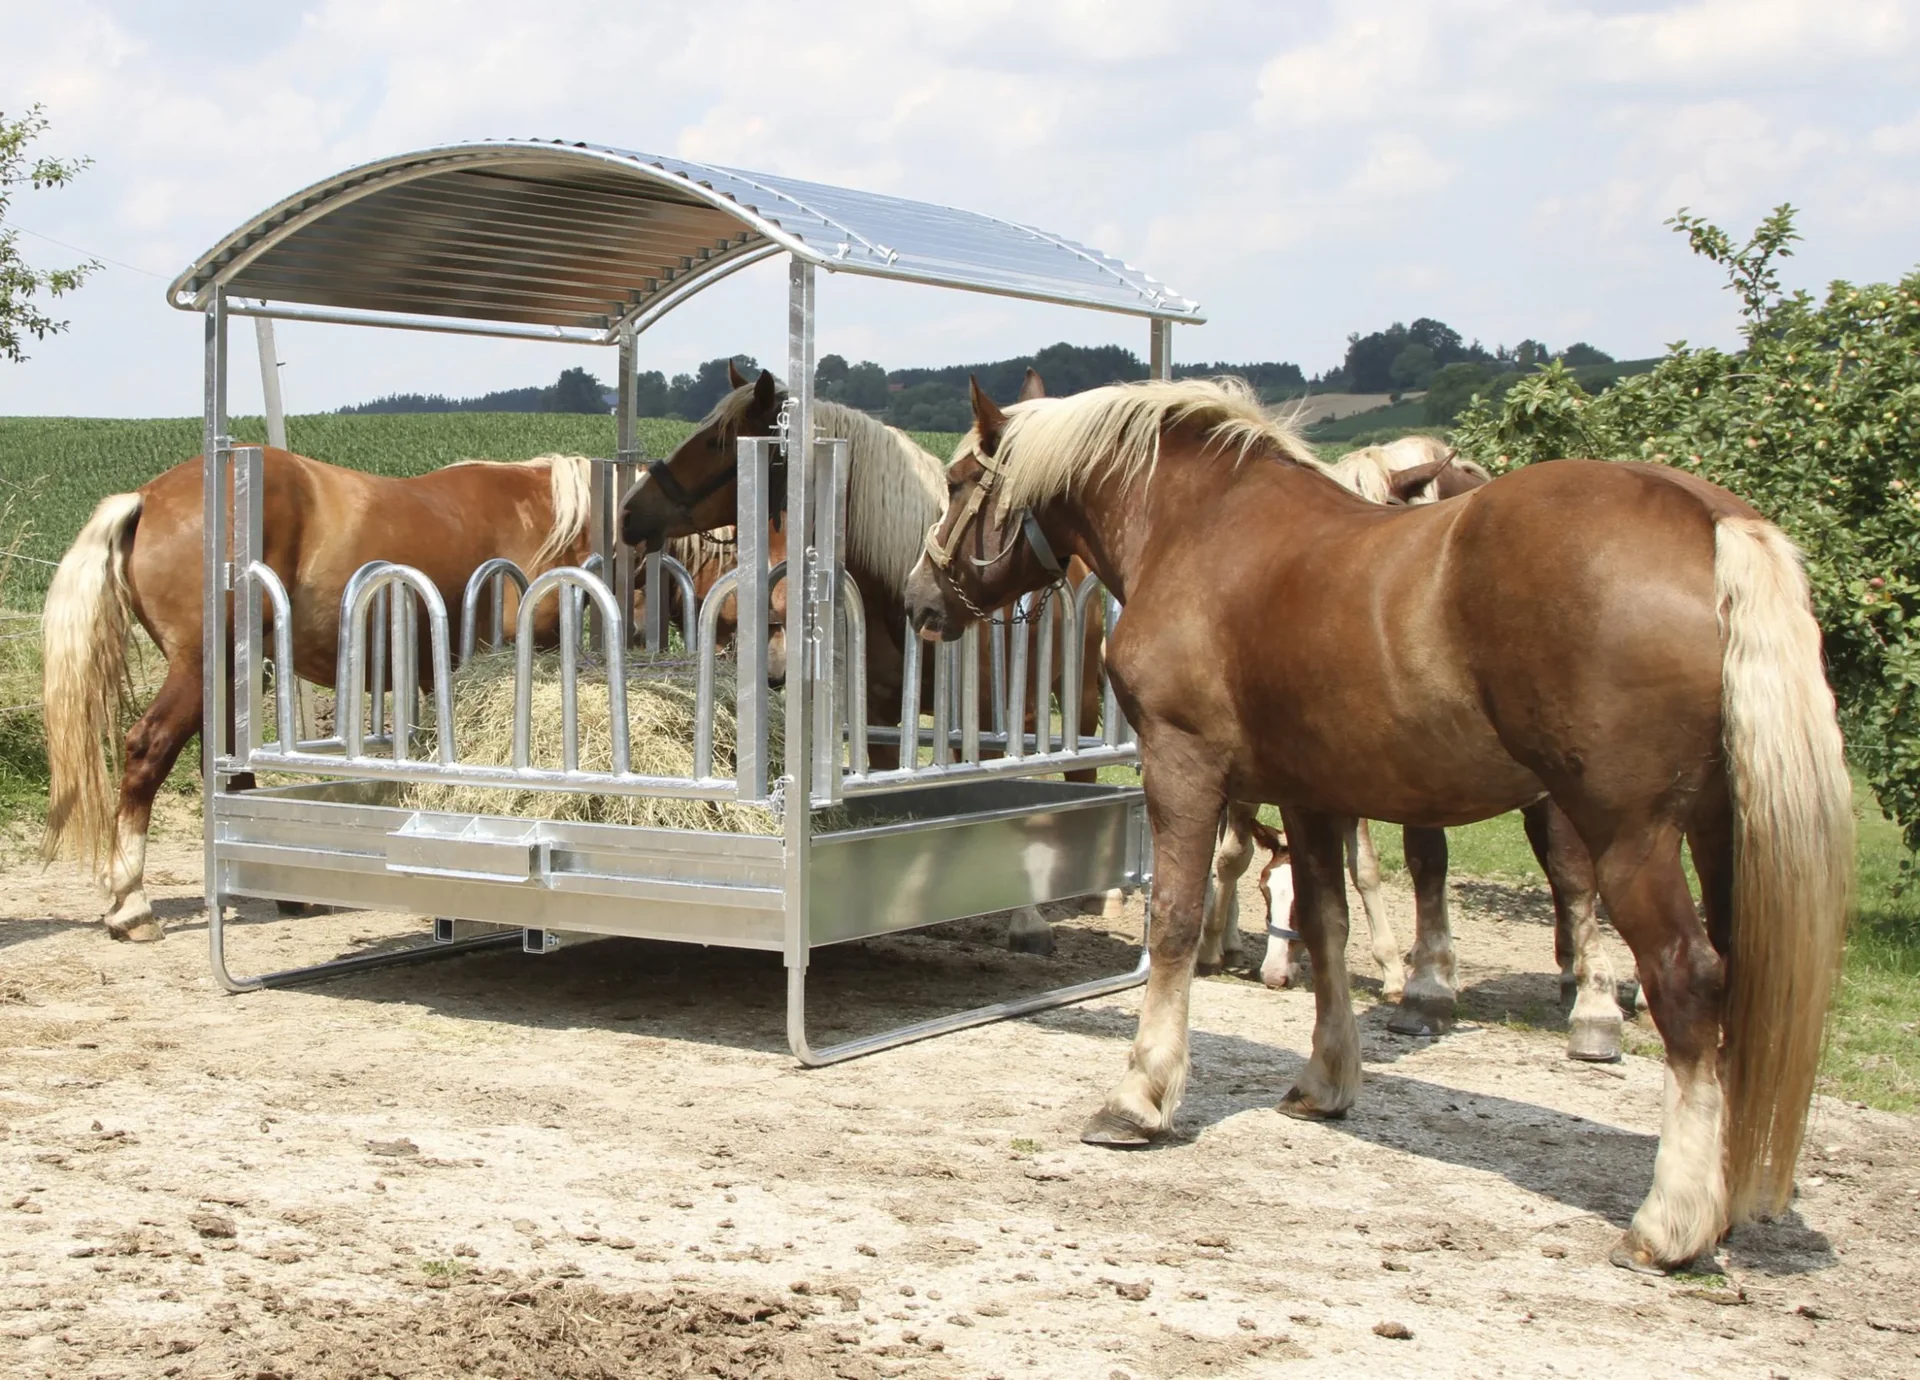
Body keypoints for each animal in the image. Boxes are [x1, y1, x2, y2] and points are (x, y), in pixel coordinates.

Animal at [41, 448, 597, 942]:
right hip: (196, 669)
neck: (546, 517)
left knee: (231, 768)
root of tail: (147, 499)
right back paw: (132, 904)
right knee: (148, 750)